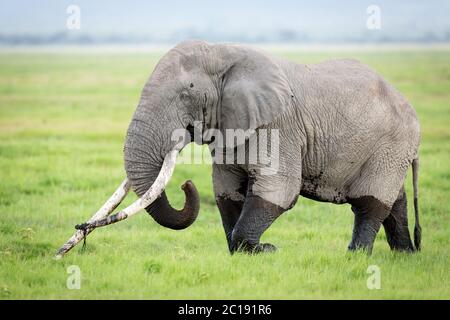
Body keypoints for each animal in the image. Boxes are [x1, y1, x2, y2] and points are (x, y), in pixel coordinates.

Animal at [57, 39, 422, 258]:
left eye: (187, 92)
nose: (77, 231)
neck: (222, 52)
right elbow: (226, 190)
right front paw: (243, 253)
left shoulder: (280, 125)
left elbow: (279, 189)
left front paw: (265, 250)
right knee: (396, 201)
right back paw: (405, 255)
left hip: (392, 144)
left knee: (371, 202)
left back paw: (355, 256)